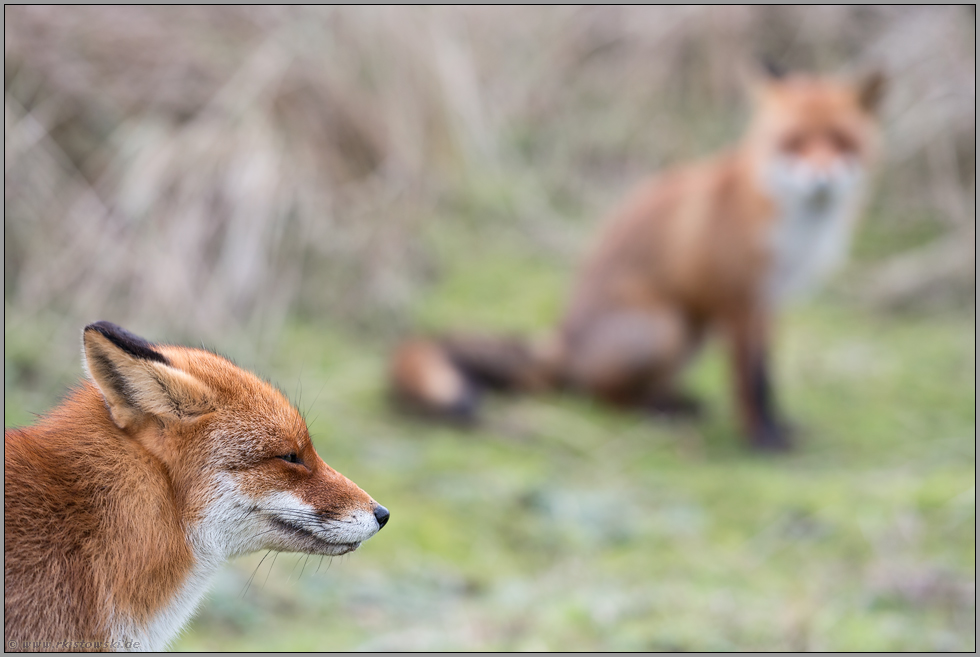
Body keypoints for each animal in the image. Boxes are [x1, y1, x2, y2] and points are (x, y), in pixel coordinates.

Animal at [390, 68, 888, 452]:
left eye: (842, 142)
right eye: (793, 143)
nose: (821, 180)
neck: (795, 228)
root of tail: (564, 341)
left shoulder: (769, 301)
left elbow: (768, 377)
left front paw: (779, 427)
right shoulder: (736, 297)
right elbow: (749, 381)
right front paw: (760, 442)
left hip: (691, 333)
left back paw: (679, 401)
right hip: (664, 327)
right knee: (601, 396)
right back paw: (662, 410)